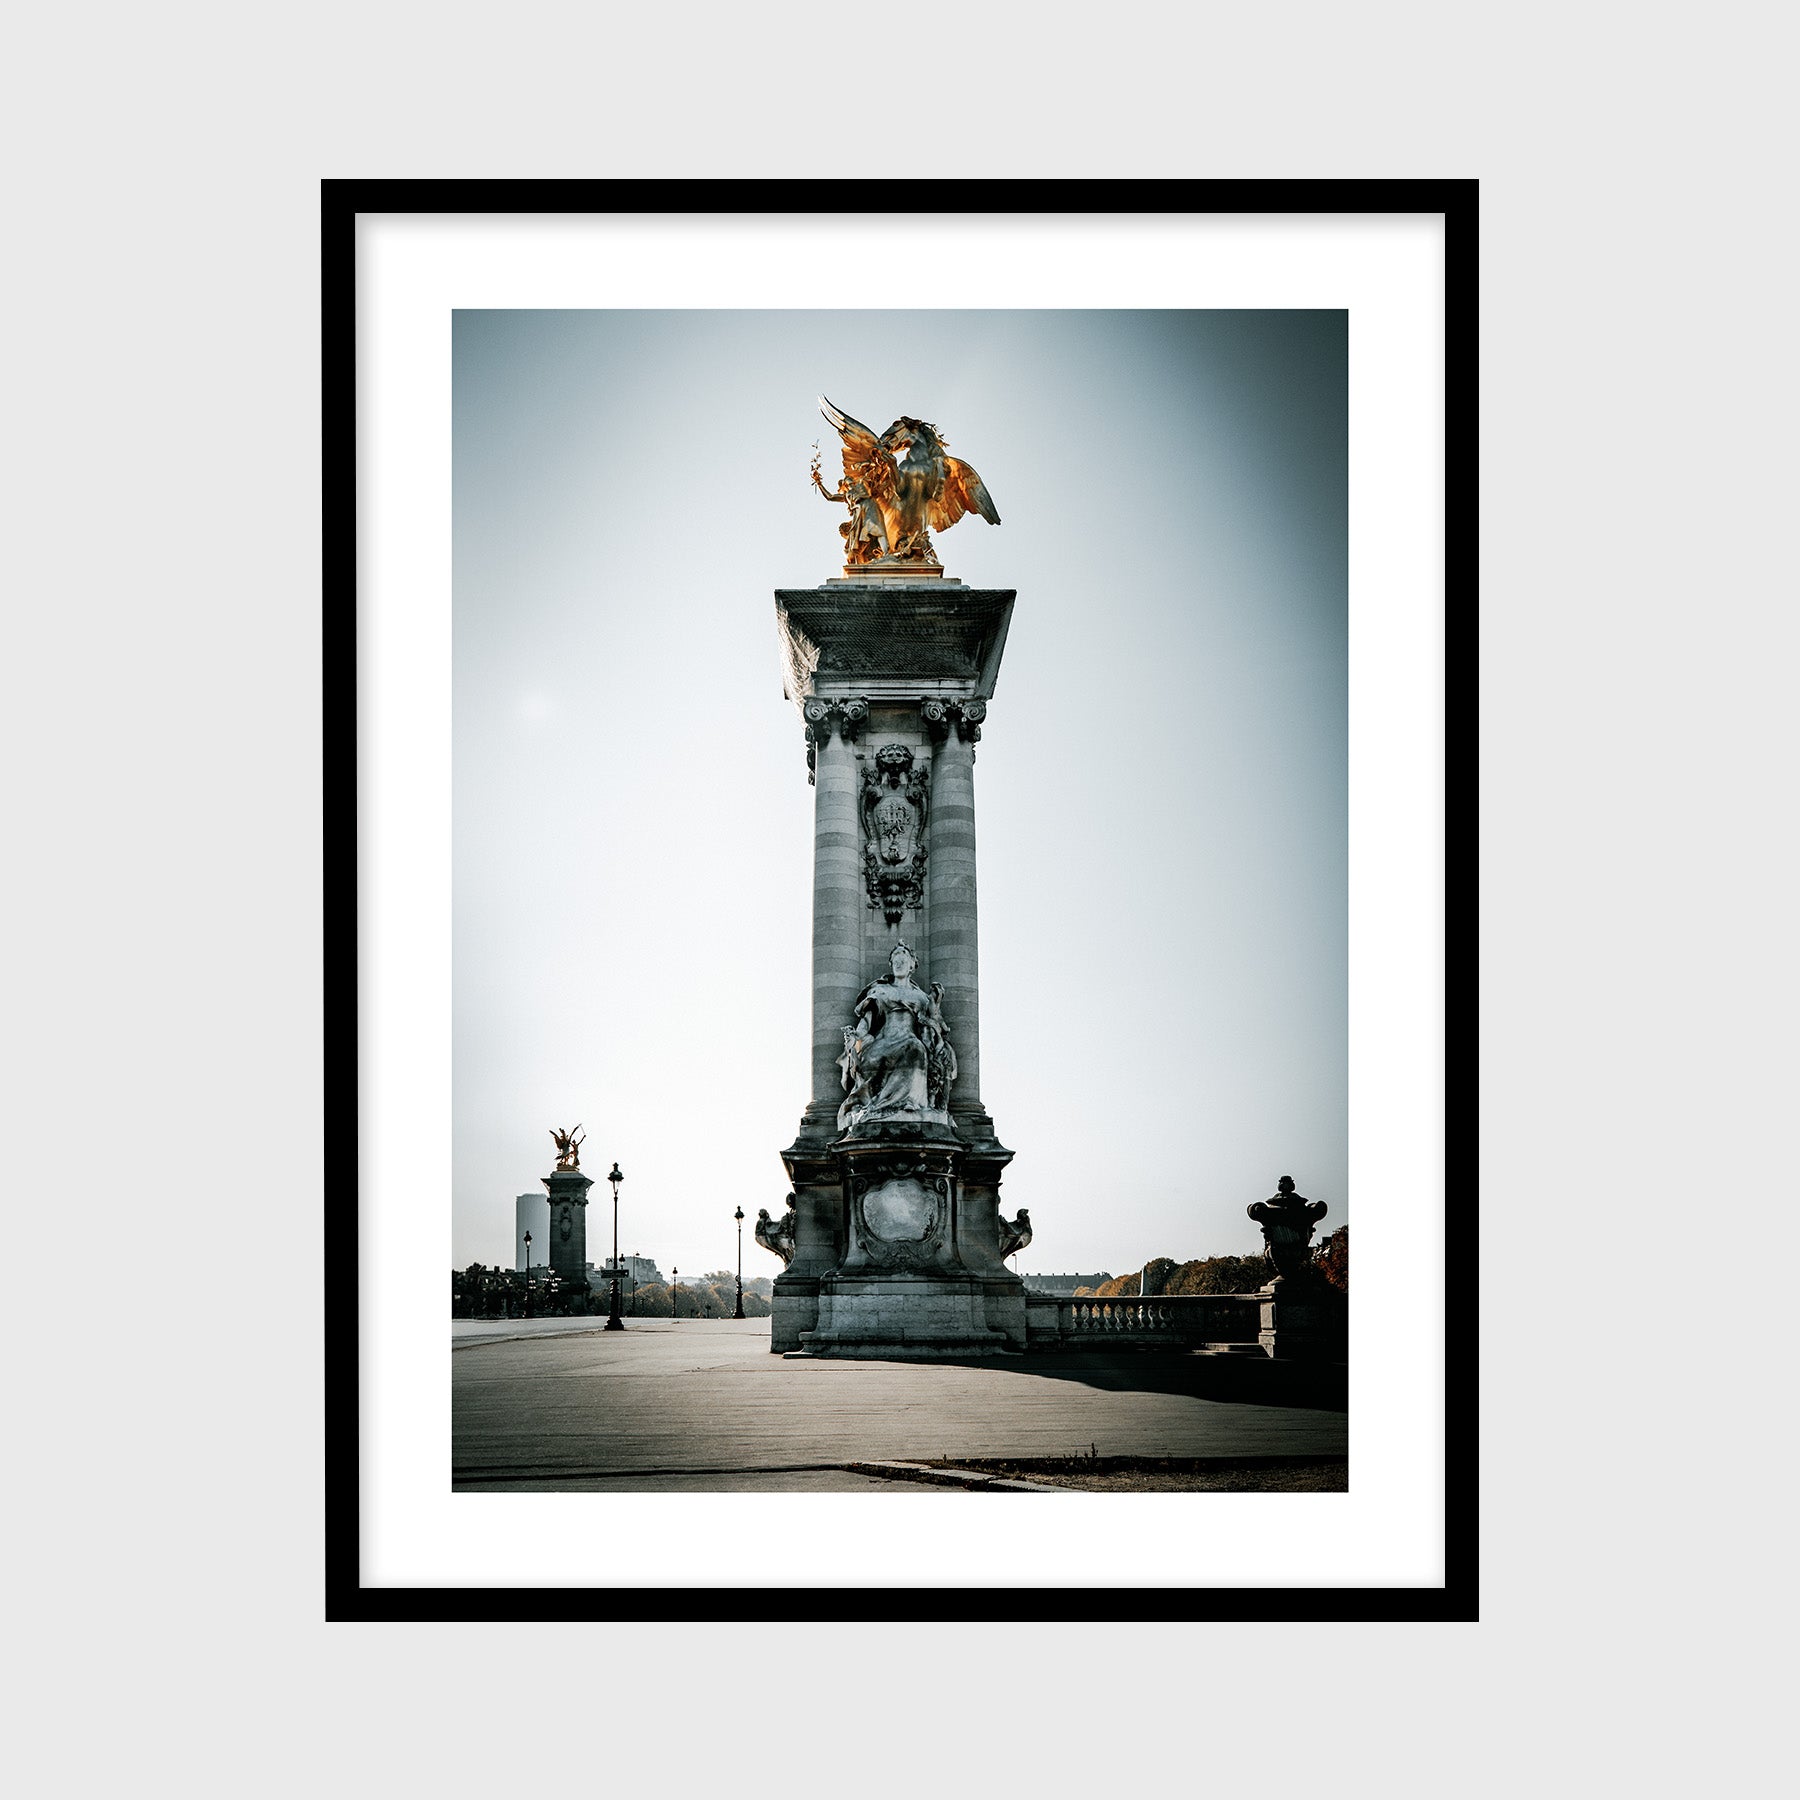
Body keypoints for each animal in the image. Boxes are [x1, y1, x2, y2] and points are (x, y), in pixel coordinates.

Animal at [817, 397, 1000, 565]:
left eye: (896, 423)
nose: (881, 441)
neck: (918, 460)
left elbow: (943, 467)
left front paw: (940, 486)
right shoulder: (898, 487)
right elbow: (891, 469)